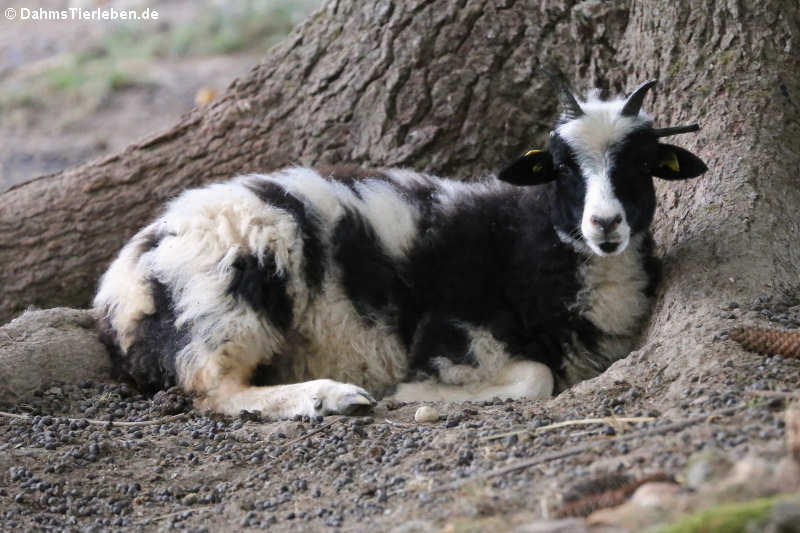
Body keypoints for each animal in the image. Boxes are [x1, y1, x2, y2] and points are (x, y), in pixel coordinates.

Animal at [94, 67, 708, 416]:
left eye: (643, 165)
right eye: (560, 168)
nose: (604, 224)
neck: (531, 242)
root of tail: (115, 289)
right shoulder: (454, 331)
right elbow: (536, 378)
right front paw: (414, 396)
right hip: (228, 294)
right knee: (212, 389)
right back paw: (329, 398)